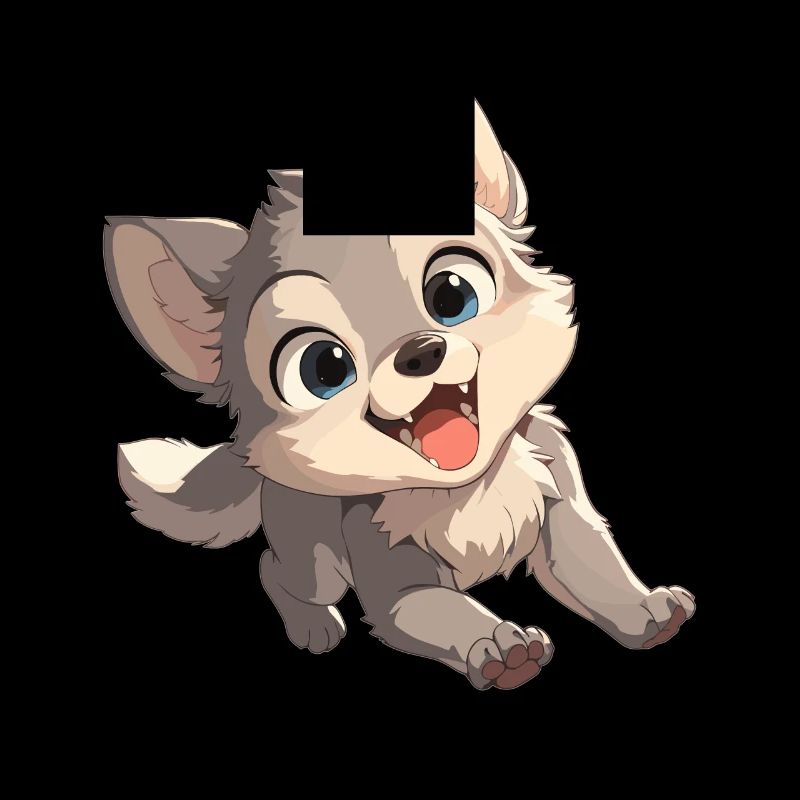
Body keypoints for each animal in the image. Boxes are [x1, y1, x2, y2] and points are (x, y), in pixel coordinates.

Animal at [105, 100, 695, 690]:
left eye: (452, 295)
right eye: (324, 368)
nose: (419, 352)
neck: (467, 490)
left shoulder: (561, 507)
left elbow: (593, 564)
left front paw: (645, 612)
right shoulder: (396, 581)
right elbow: (442, 609)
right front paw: (497, 644)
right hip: (312, 558)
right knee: (275, 570)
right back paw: (312, 627)